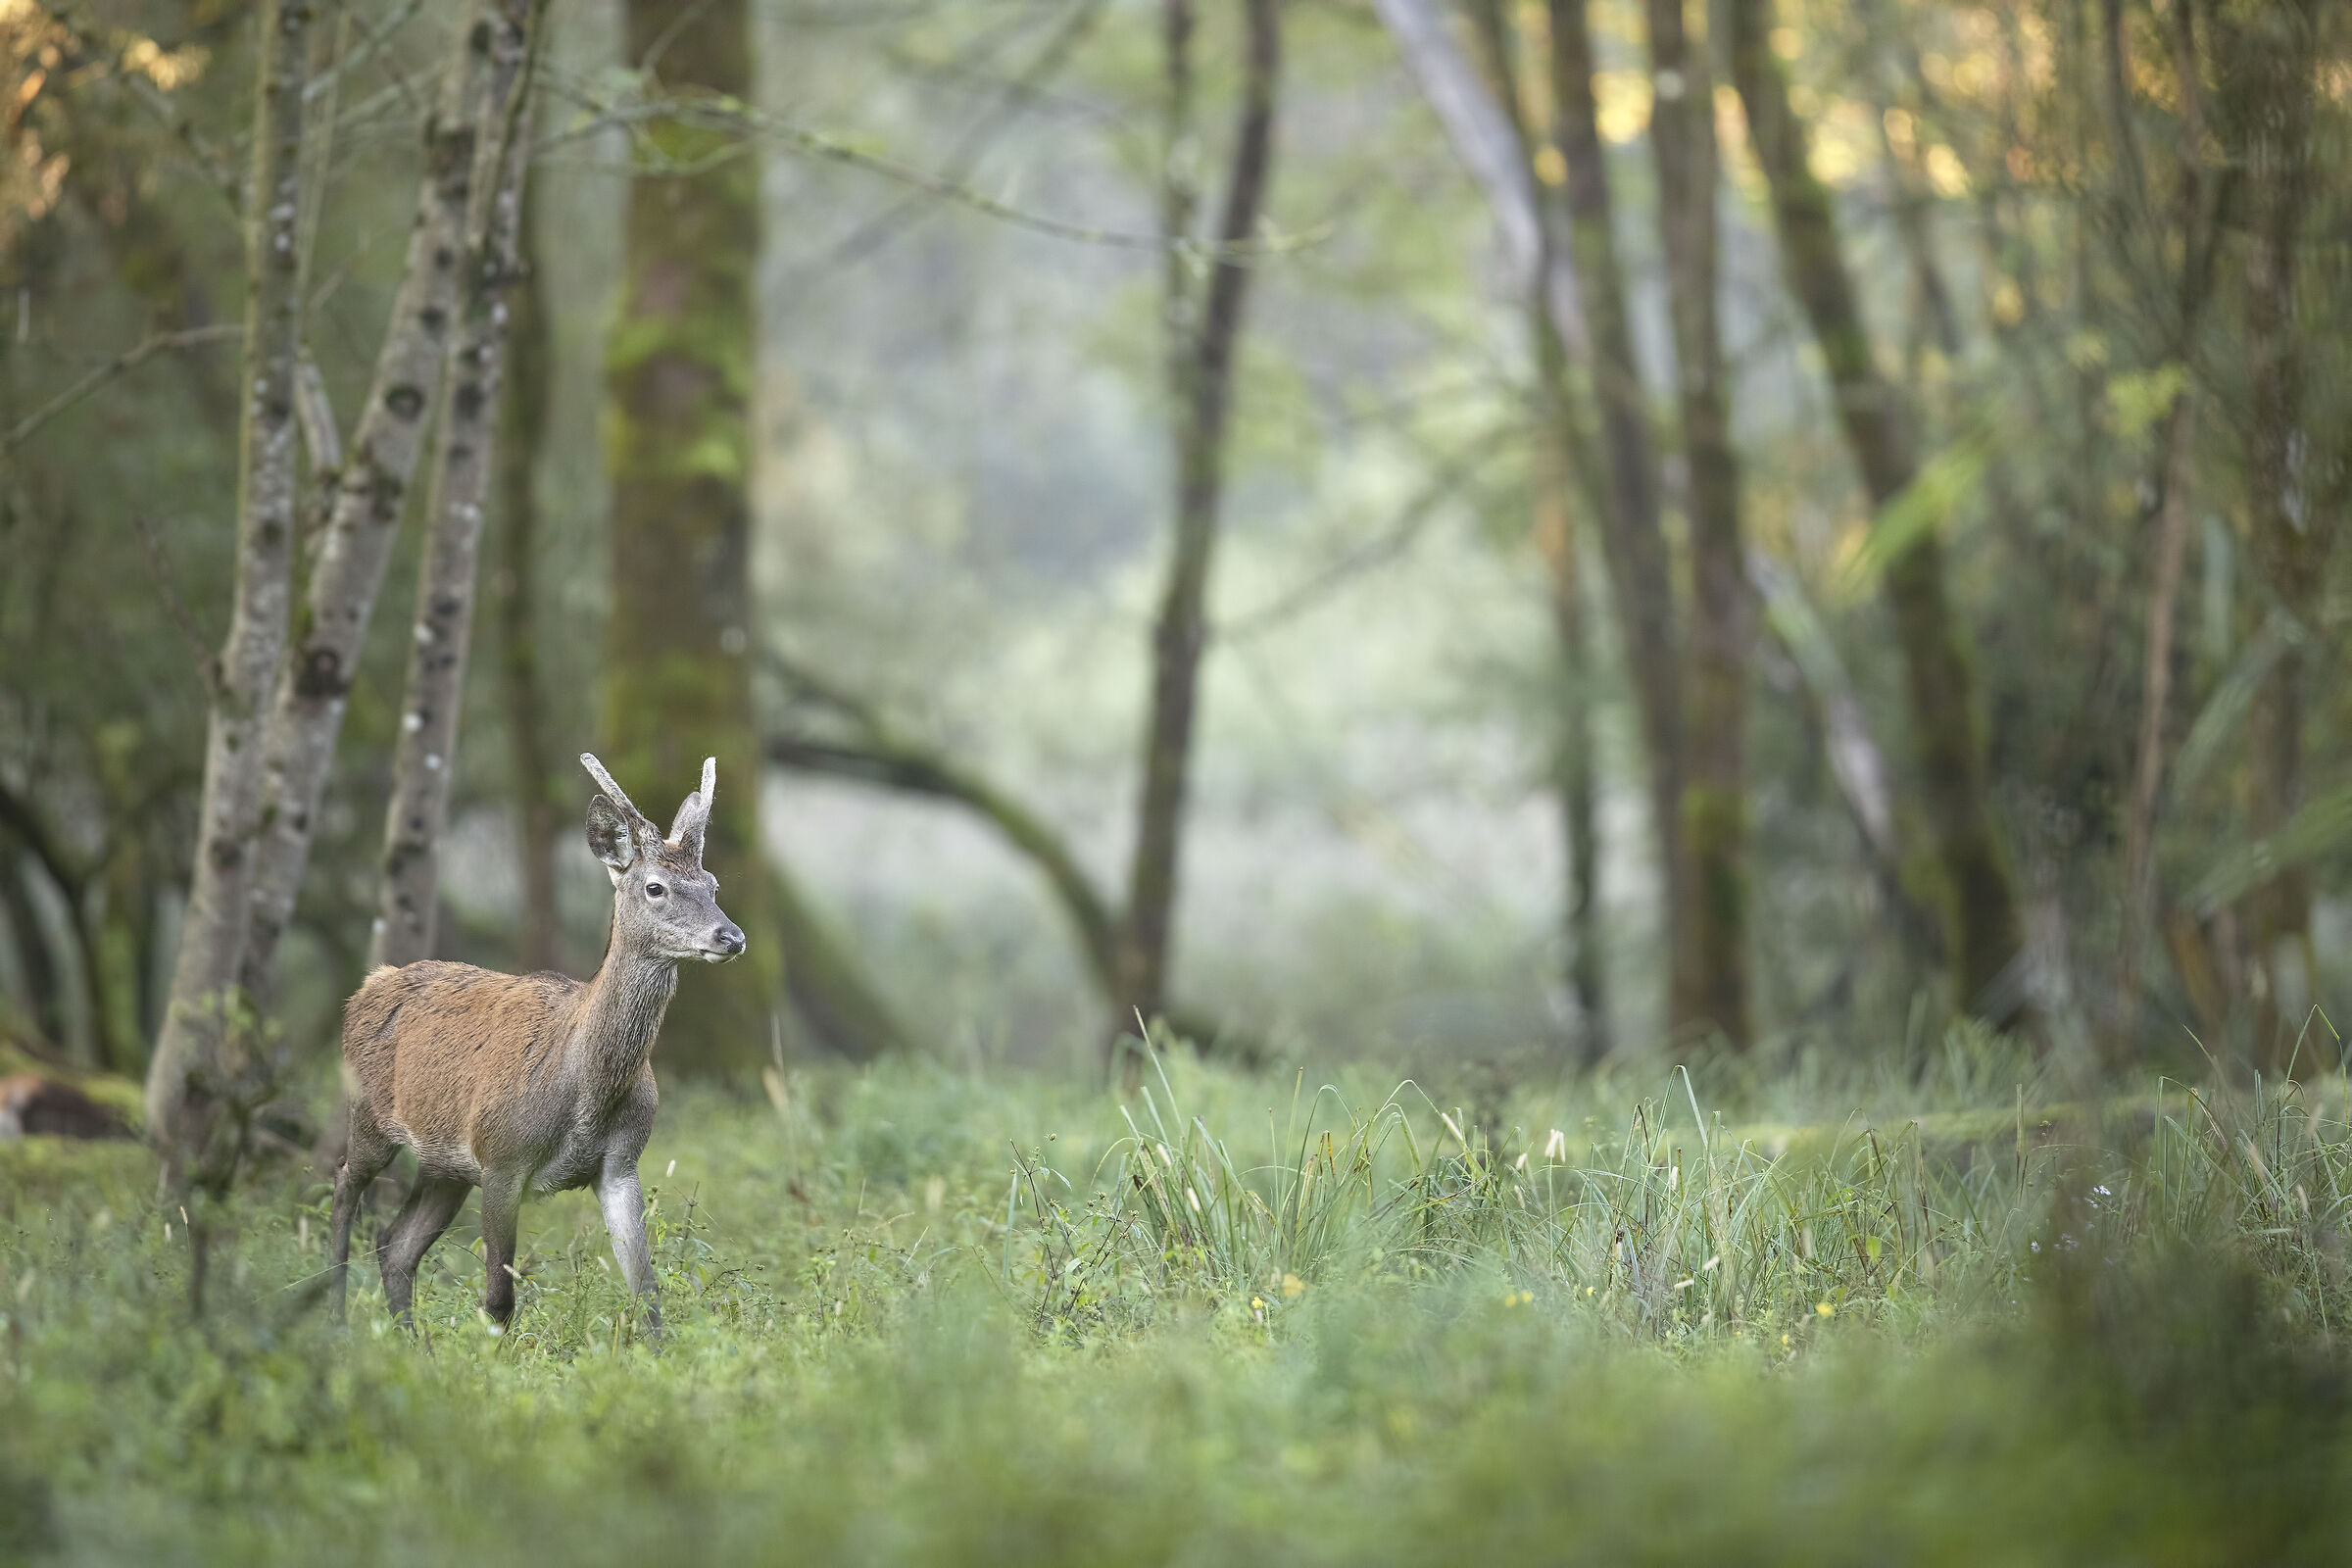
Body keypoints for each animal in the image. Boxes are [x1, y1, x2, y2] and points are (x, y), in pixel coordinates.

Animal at [328, 753, 744, 1338]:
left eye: (712, 884)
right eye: (655, 887)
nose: (731, 937)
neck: (585, 1089)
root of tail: (369, 984)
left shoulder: (621, 1163)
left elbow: (648, 1294)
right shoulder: (502, 1158)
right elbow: (500, 1298)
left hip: (445, 1166)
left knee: (396, 1245)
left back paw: (411, 1344)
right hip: (369, 1114)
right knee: (344, 1186)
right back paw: (336, 1318)